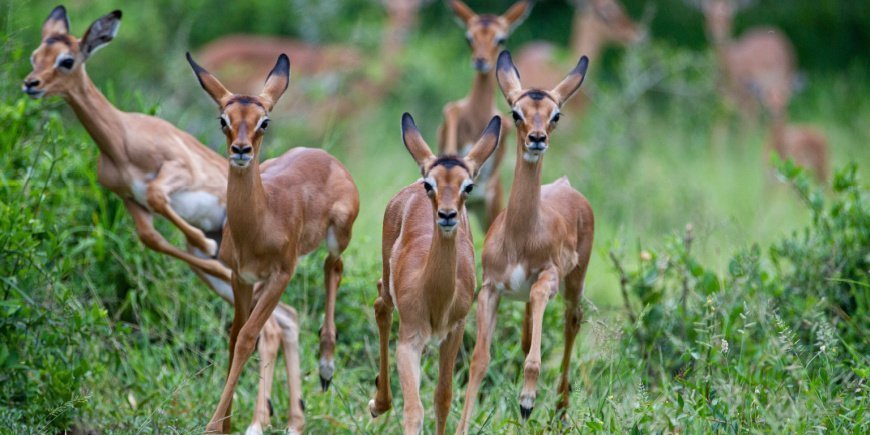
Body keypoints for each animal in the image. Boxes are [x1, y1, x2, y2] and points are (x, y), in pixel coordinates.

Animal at [22, 8, 300, 434]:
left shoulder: (174, 173)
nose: (30, 84)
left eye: (66, 60)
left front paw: (203, 242)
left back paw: (259, 420)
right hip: (233, 279)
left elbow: (162, 205)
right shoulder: (129, 199)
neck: (121, 138)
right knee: (283, 320)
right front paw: (200, 244)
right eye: (37, 54)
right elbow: (150, 237)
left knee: (268, 327)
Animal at [187, 52, 360, 434]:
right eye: (223, 119)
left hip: (338, 235)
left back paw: (326, 367)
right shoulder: (241, 277)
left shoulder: (282, 274)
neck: (260, 223)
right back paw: (295, 420)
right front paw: (228, 424)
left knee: (333, 267)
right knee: (291, 317)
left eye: (264, 121)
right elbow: (236, 335)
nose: (241, 150)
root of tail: (327, 157)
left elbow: (248, 338)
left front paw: (214, 426)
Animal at [369, 113, 501, 435]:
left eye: (468, 186)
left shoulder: (454, 331)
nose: (447, 215)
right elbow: (414, 409)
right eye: (432, 185)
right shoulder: (409, 339)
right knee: (380, 305)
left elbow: (443, 397)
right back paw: (378, 404)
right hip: (388, 285)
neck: (436, 300)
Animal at [438, 0, 532, 229]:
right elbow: (451, 111)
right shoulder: (450, 114)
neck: (477, 115)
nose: (481, 61)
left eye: (501, 38)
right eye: (469, 37)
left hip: (489, 209)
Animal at [457, 51, 594, 432]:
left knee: (570, 324)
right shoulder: (490, 289)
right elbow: (479, 360)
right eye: (516, 113)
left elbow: (535, 351)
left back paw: (559, 411)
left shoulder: (547, 278)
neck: (520, 237)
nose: (536, 138)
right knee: (528, 331)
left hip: (574, 284)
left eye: (555, 114)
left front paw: (527, 400)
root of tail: (566, 185)